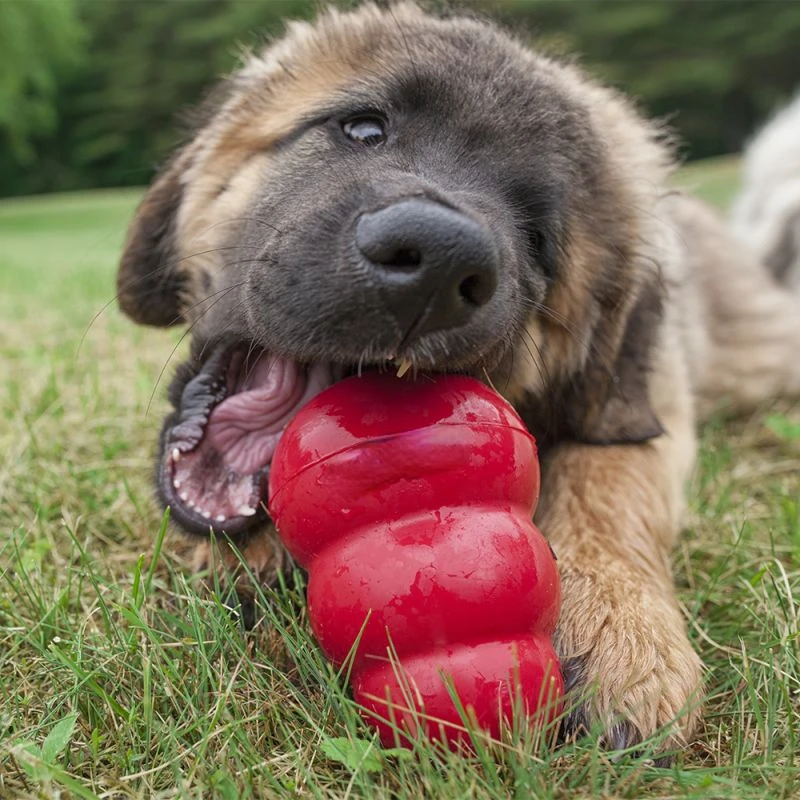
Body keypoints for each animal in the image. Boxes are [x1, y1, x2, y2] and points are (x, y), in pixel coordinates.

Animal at [115, 1, 800, 756]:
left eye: (538, 235)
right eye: (363, 129)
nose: (438, 264)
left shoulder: (652, 410)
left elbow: (611, 483)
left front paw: (621, 627)